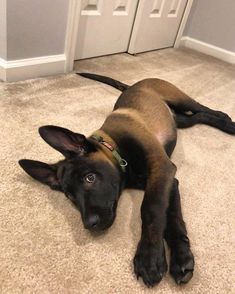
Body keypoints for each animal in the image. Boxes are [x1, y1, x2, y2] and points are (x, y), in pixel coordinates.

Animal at [18, 73, 235, 288]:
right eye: (70, 196)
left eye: (90, 178)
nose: (89, 224)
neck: (116, 148)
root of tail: (134, 85)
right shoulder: (169, 180)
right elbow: (172, 217)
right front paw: (181, 258)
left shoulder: (162, 168)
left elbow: (152, 208)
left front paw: (149, 257)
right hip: (178, 120)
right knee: (197, 117)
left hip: (178, 98)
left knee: (202, 108)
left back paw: (227, 122)